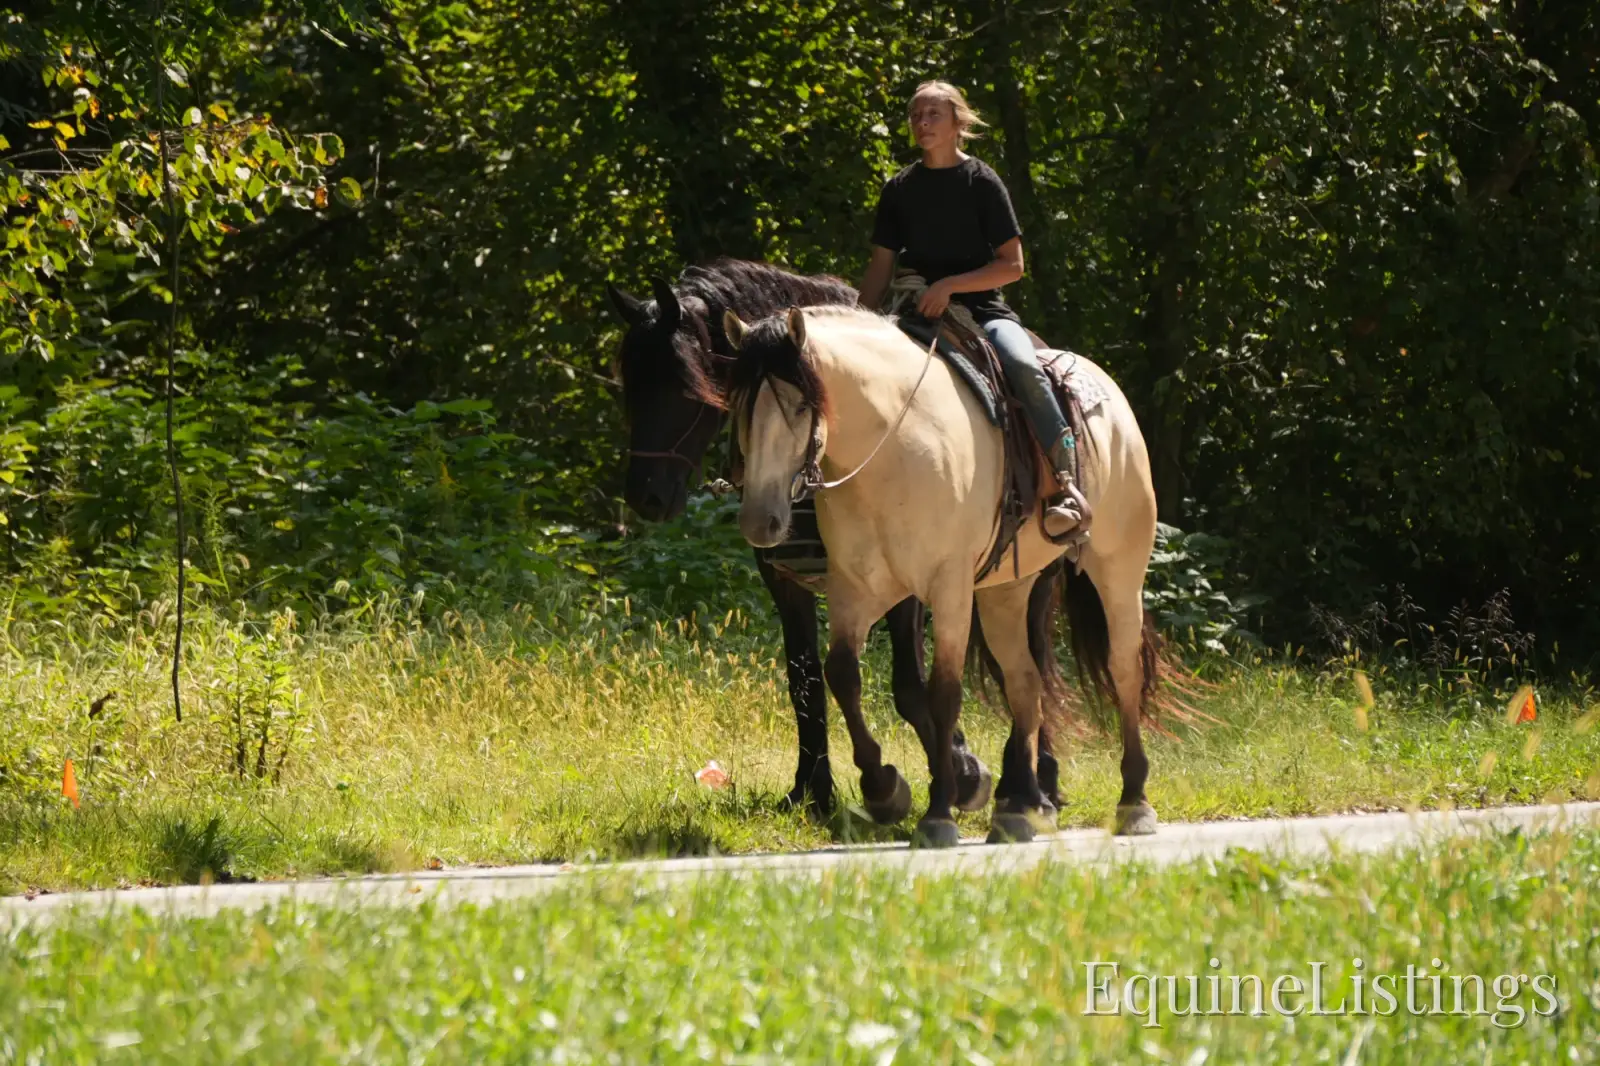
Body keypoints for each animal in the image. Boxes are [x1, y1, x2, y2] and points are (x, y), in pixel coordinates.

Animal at [605, 259, 1066, 822]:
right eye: (631, 385)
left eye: (681, 384)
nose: (645, 498)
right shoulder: (789, 581)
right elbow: (806, 682)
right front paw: (814, 791)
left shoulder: (906, 583)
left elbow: (908, 686)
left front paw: (960, 774)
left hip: (1032, 580)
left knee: (1030, 663)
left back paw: (1036, 782)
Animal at [723, 305, 1160, 846]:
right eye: (739, 405)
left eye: (801, 405)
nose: (759, 521)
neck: (891, 449)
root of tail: (1110, 396)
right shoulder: (857, 588)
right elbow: (842, 673)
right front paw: (884, 789)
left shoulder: (947, 588)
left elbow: (942, 693)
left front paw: (938, 813)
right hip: (1006, 592)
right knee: (1025, 680)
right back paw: (1017, 809)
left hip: (1118, 571)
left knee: (1123, 669)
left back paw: (1133, 801)